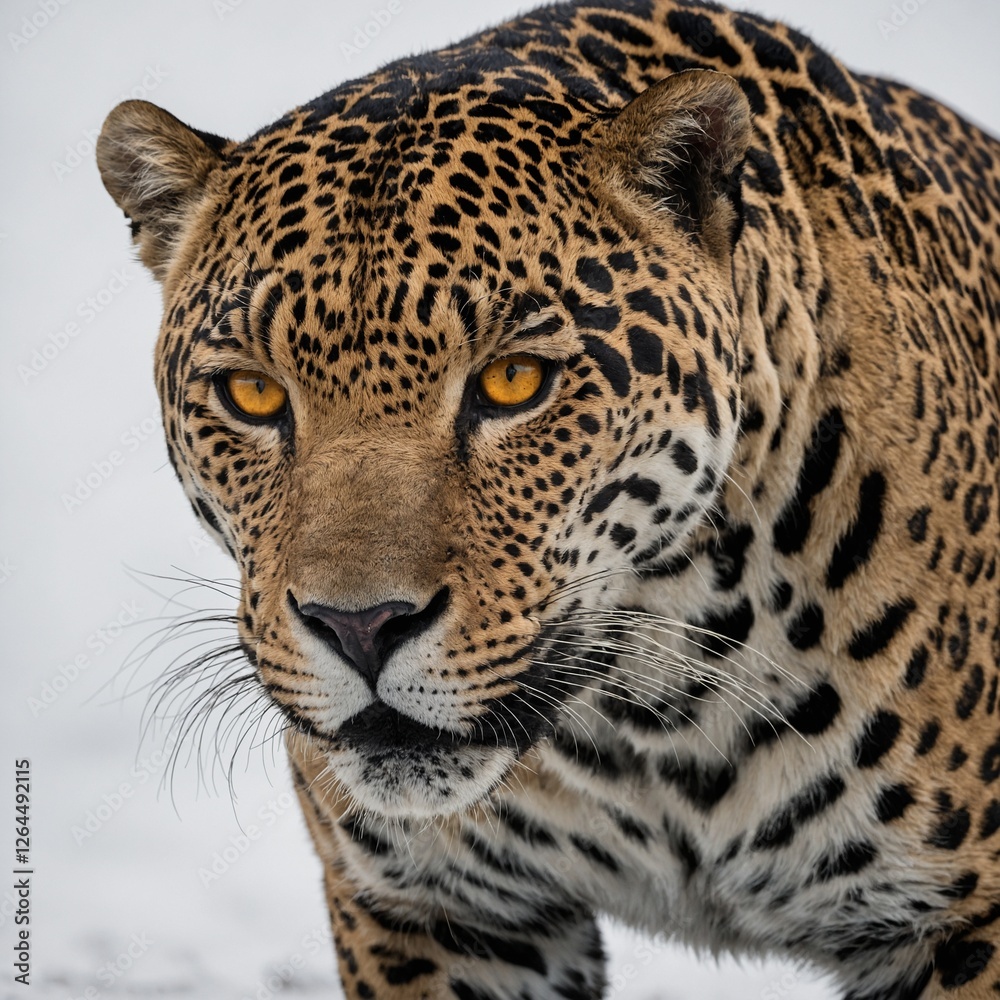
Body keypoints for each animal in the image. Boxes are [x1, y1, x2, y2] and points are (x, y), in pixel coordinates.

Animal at [96, 0, 1000, 996]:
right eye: (252, 394)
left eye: (515, 382)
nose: (359, 627)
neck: (657, 716)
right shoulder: (443, 918)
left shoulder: (961, 924)